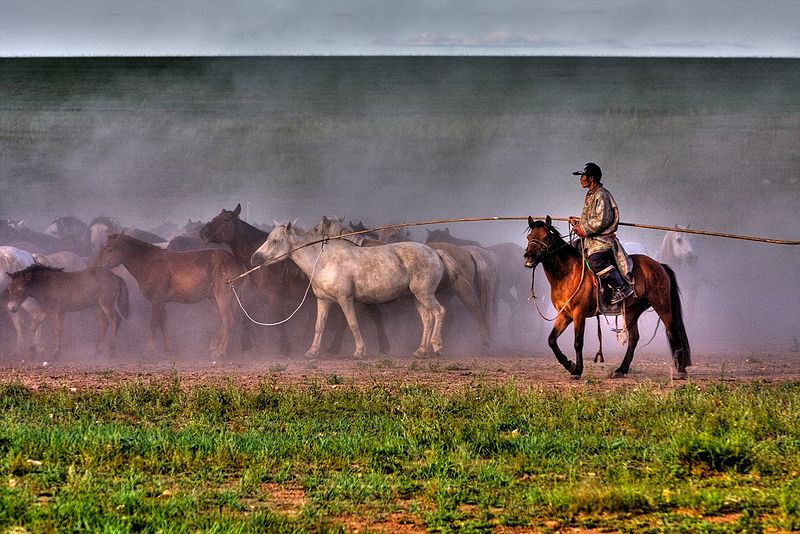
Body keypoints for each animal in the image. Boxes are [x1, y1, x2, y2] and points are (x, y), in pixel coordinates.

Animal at [94, 234, 245, 360]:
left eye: (110, 249)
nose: (97, 266)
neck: (150, 263)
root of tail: (238, 263)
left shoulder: (156, 299)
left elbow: (153, 324)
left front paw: (149, 351)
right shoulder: (162, 301)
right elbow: (163, 323)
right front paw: (168, 350)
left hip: (222, 296)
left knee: (229, 321)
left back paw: (220, 352)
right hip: (214, 298)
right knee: (224, 320)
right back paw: (215, 344)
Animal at [252, 223, 450, 360]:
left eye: (274, 241)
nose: (255, 258)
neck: (324, 260)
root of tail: (435, 252)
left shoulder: (345, 299)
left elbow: (353, 323)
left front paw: (359, 351)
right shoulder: (323, 300)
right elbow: (319, 326)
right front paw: (312, 352)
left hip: (425, 294)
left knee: (440, 312)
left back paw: (437, 345)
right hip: (417, 297)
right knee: (427, 319)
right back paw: (421, 351)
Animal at [520, 217, 692, 382]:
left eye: (547, 237)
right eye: (529, 237)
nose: (529, 257)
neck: (568, 274)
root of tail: (659, 266)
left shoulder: (579, 314)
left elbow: (578, 342)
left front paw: (577, 371)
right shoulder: (565, 315)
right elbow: (551, 340)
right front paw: (570, 364)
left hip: (662, 305)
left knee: (673, 331)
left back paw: (681, 371)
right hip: (632, 309)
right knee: (634, 338)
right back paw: (621, 370)